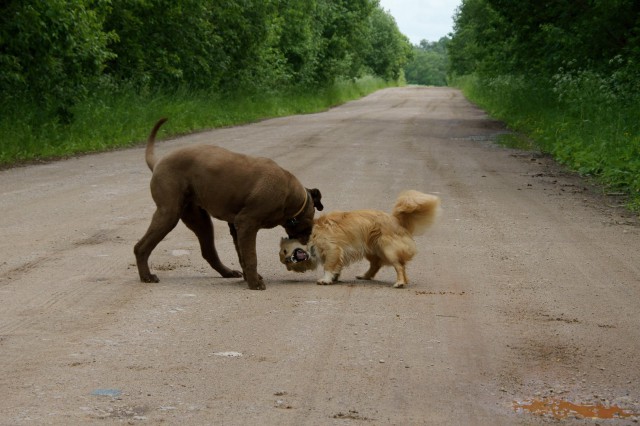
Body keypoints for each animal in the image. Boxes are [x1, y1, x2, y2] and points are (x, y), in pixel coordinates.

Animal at [137, 119, 322, 290]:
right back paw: (147, 276)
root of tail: (158, 162)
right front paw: (255, 283)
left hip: (199, 220)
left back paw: (227, 272)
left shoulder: (236, 226)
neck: (291, 197)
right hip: (168, 213)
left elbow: (242, 256)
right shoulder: (247, 223)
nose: (308, 240)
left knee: (208, 251)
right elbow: (251, 257)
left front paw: (250, 278)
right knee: (140, 247)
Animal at [280, 191, 440, 288]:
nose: (287, 261)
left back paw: (400, 282)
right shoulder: (338, 254)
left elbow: (328, 266)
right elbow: (336, 267)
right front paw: (334, 277)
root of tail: (396, 220)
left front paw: (325, 279)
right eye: (285, 261)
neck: (309, 235)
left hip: (388, 250)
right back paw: (365, 276)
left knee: (399, 266)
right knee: (376, 265)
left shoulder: (333, 249)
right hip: (372, 250)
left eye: (285, 251)